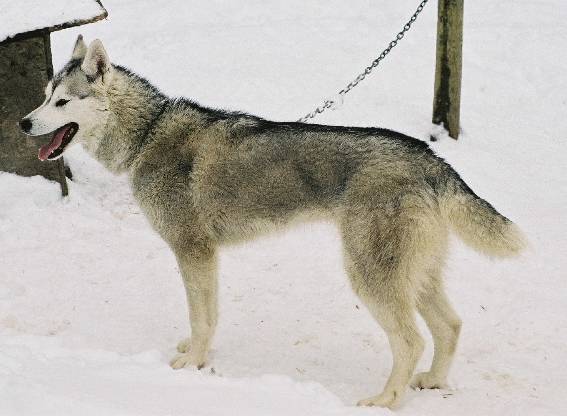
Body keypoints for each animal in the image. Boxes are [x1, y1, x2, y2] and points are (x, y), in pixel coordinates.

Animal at [22, 37, 528, 408]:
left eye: (62, 101)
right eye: (45, 96)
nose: (24, 123)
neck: (148, 134)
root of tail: (431, 158)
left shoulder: (192, 251)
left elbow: (201, 318)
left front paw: (192, 367)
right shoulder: (205, 257)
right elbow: (208, 316)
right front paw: (197, 355)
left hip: (370, 277)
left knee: (411, 339)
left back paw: (385, 401)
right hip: (415, 276)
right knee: (451, 326)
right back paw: (432, 384)